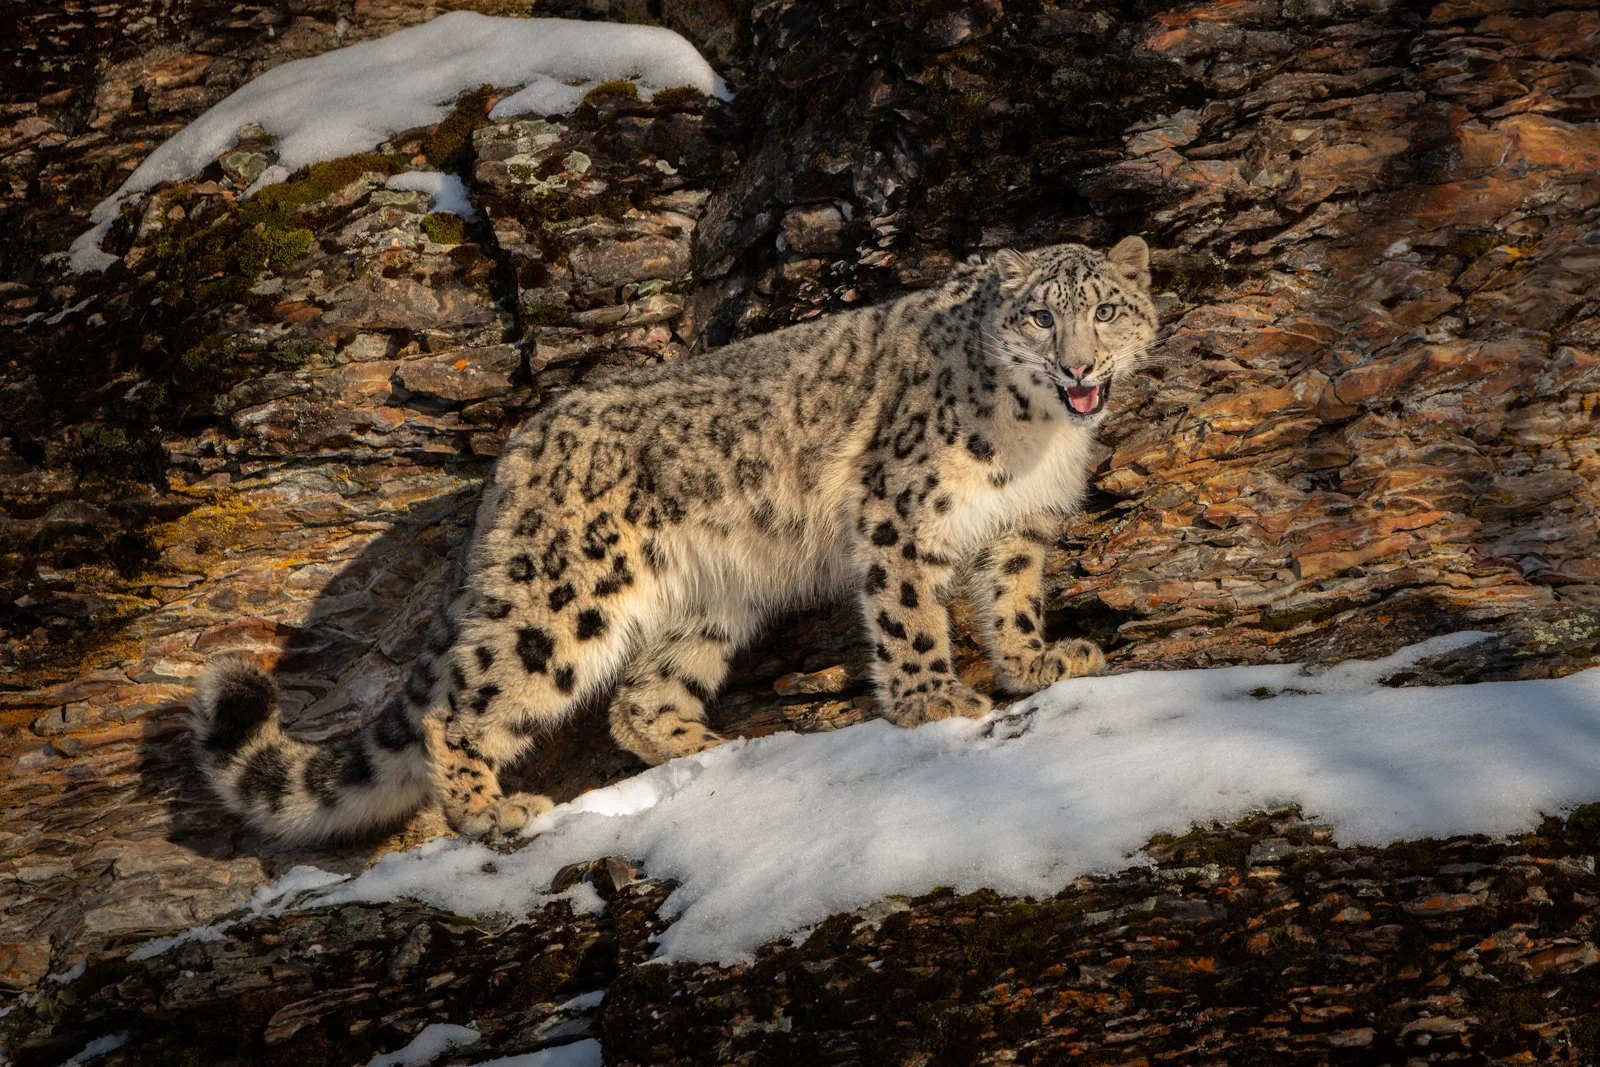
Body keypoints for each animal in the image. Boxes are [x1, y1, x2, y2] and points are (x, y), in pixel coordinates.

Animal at [190, 236, 1160, 844]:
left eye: (1107, 310)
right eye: (1041, 317)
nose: (1078, 364)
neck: (1037, 438)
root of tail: (517, 451)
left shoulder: (1021, 527)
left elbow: (1013, 599)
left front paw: (1039, 662)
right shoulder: (901, 511)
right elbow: (911, 615)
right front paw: (935, 699)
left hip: (709, 601)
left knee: (640, 700)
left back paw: (727, 746)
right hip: (566, 595)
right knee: (458, 707)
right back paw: (492, 812)